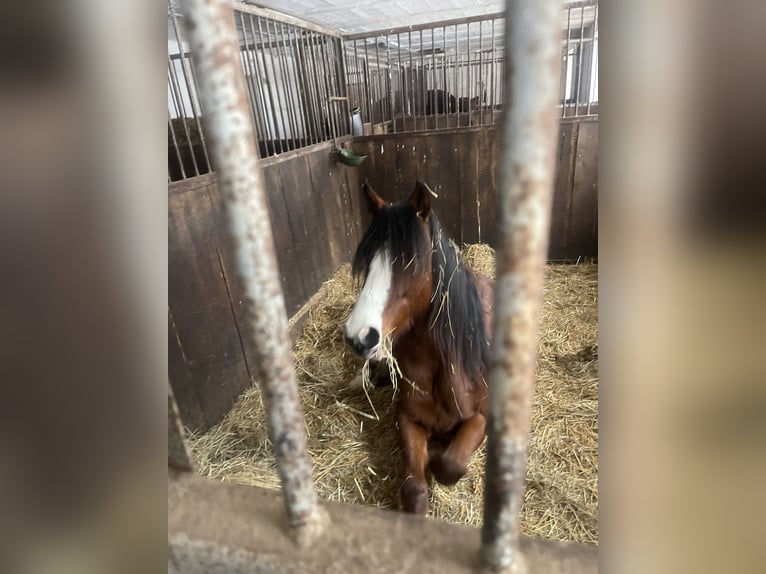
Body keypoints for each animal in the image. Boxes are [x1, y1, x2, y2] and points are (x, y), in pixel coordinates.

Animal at [344, 180, 495, 514]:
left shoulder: (482, 417)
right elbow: (414, 489)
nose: (359, 335)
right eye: (367, 263)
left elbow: (449, 464)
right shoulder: (407, 419)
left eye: (410, 264)